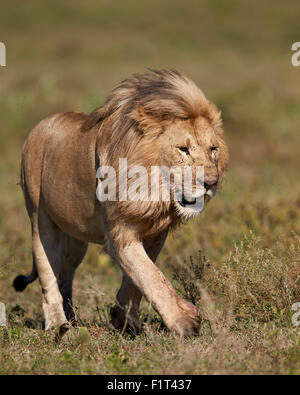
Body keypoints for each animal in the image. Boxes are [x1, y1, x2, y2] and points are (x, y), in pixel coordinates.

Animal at [11, 70, 227, 338]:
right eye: (183, 149)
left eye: (213, 149)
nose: (211, 183)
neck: (155, 191)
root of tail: (39, 126)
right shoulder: (119, 232)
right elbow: (150, 276)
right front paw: (185, 322)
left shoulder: (156, 234)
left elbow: (137, 279)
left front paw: (124, 321)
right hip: (40, 219)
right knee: (48, 273)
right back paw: (59, 325)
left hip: (76, 240)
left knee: (66, 273)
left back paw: (72, 319)